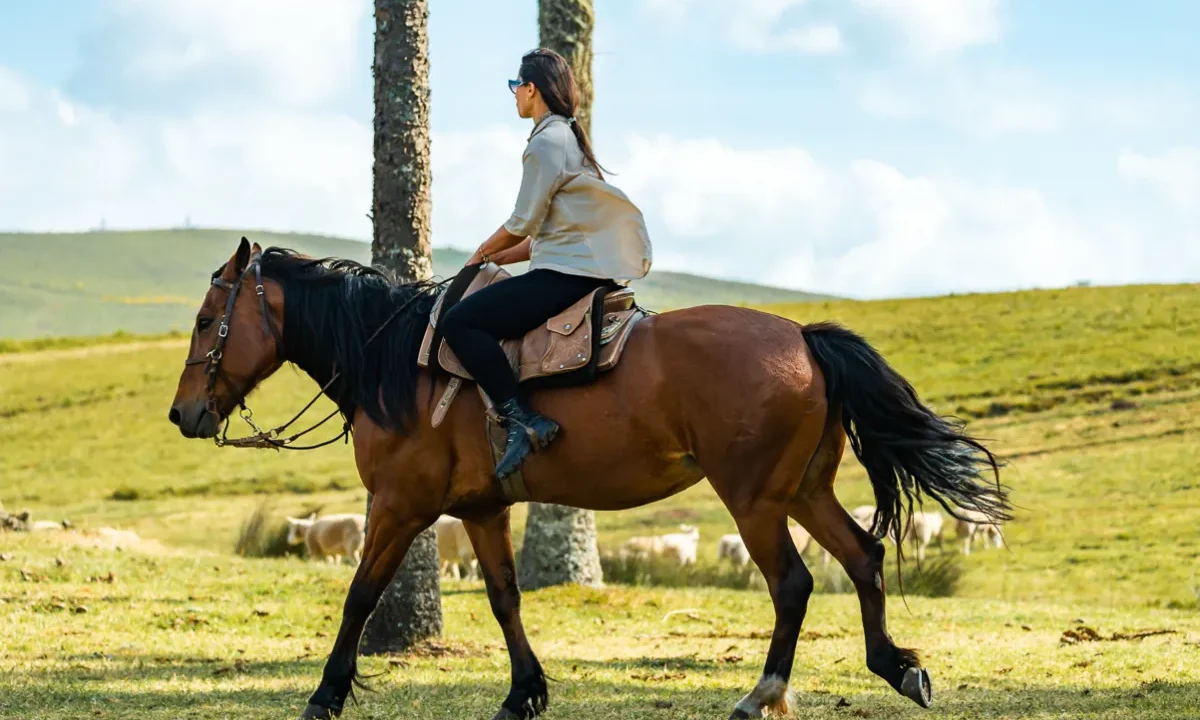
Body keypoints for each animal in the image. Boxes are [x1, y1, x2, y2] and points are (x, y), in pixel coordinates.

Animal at [169, 238, 1010, 720]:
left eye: (210, 320)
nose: (183, 414)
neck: (397, 362)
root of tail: (804, 337)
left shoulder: (399, 507)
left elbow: (359, 596)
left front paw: (325, 695)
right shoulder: (480, 511)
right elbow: (505, 599)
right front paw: (523, 694)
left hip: (755, 502)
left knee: (794, 585)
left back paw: (762, 695)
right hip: (802, 491)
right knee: (864, 559)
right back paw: (897, 668)